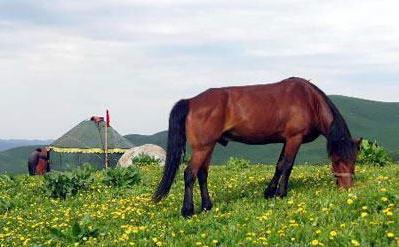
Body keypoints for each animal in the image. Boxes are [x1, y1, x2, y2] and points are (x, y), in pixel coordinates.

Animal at [155, 76, 360, 216]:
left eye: (354, 161)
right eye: (337, 160)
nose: (348, 189)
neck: (309, 100)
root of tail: (191, 101)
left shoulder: (286, 140)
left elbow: (279, 166)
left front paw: (269, 192)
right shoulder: (294, 138)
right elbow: (288, 166)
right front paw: (281, 193)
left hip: (208, 147)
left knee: (202, 174)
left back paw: (207, 206)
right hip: (202, 147)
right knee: (190, 173)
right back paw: (188, 210)